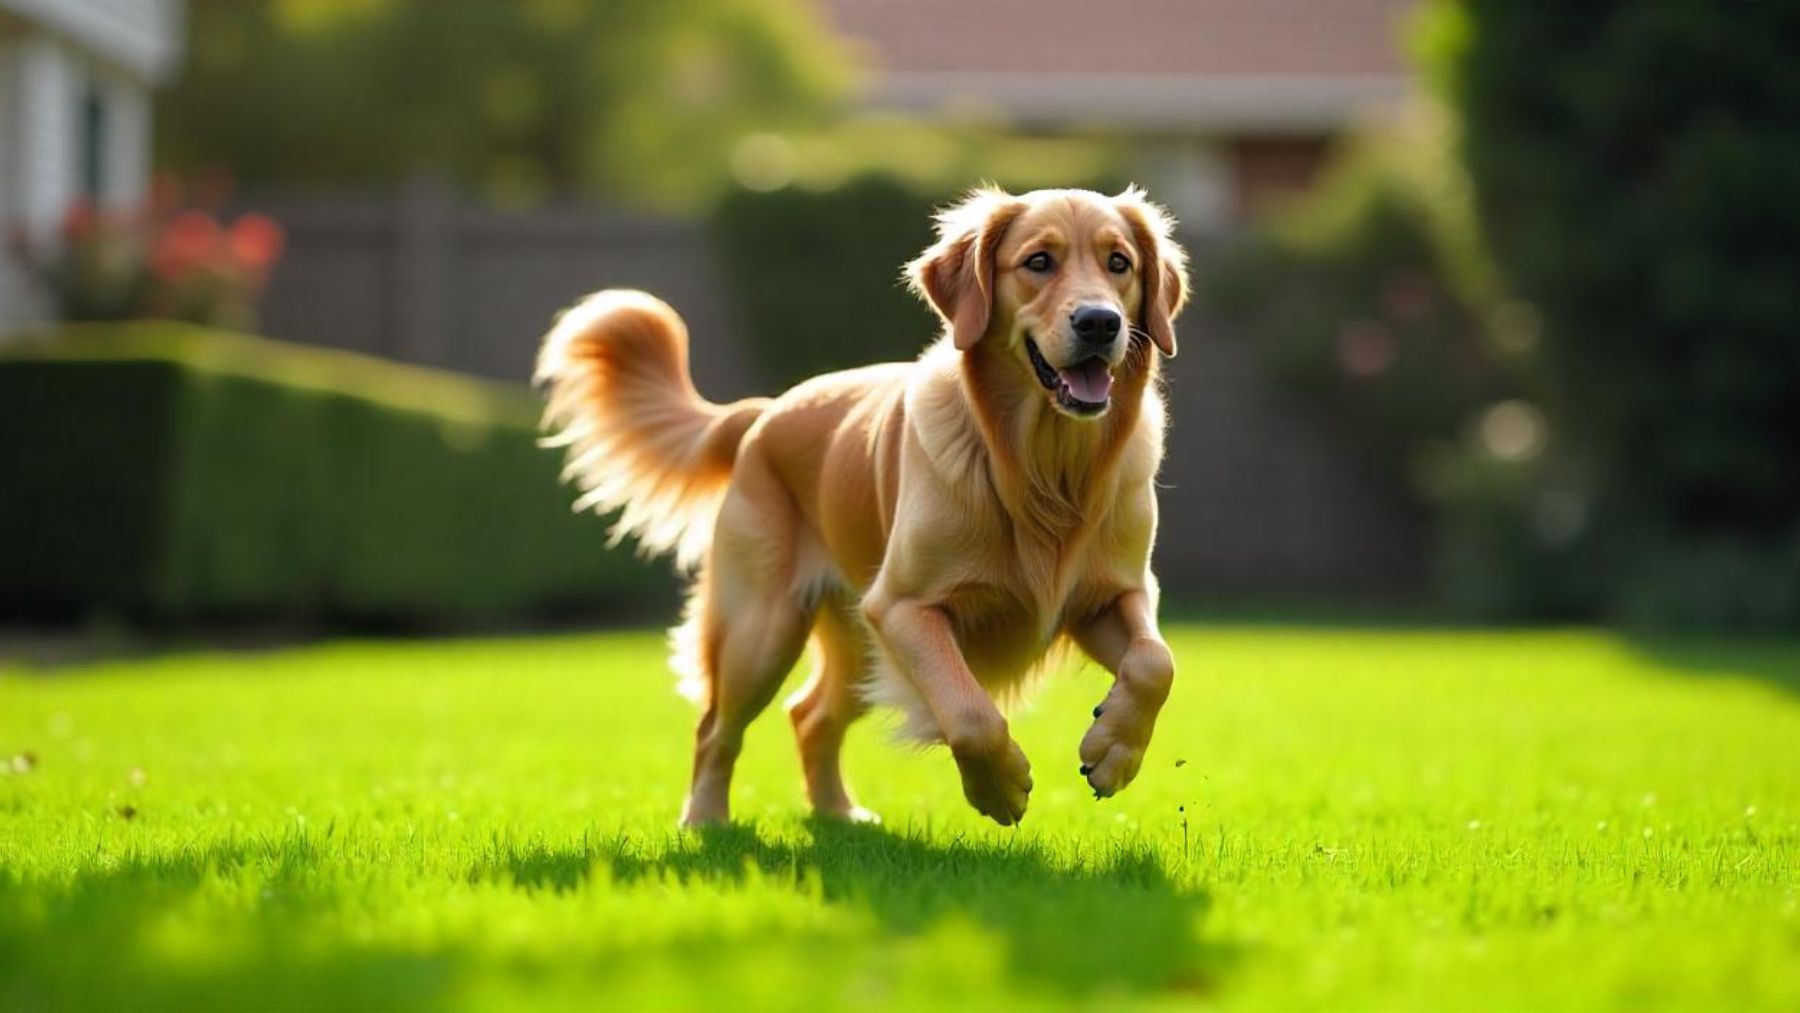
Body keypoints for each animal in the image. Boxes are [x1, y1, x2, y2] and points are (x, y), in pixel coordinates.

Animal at [525, 186, 1188, 827]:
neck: (1043, 472)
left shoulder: (1116, 594)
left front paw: (1114, 750)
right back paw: (707, 821)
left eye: (1119, 263)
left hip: (850, 646)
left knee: (809, 714)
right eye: (1039, 262)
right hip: (761, 631)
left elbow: (1157, 662)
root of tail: (764, 411)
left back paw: (839, 815)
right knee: (717, 728)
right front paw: (999, 787)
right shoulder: (902, 606)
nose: (1100, 323)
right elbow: (969, 712)